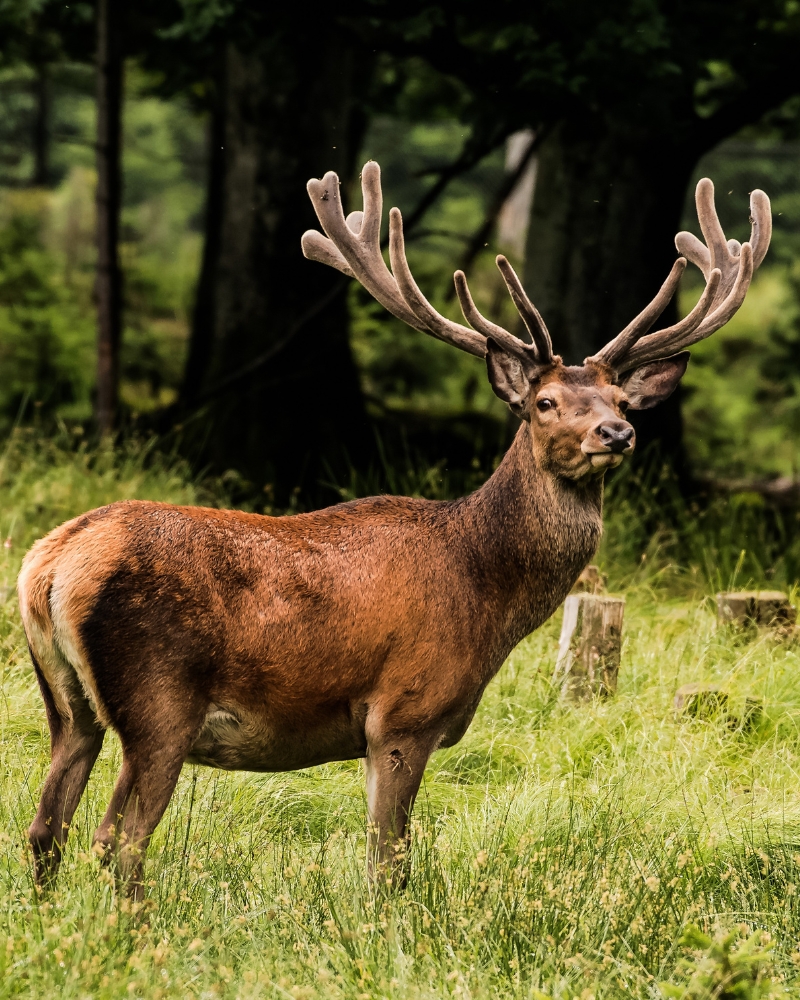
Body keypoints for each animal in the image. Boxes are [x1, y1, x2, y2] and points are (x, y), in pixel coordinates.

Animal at [19, 163, 770, 896]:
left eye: (619, 399)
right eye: (545, 403)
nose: (617, 433)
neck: (486, 594)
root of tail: (49, 567)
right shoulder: (404, 713)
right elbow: (389, 865)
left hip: (67, 703)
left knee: (46, 828)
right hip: (160, 700)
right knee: (115, 839)